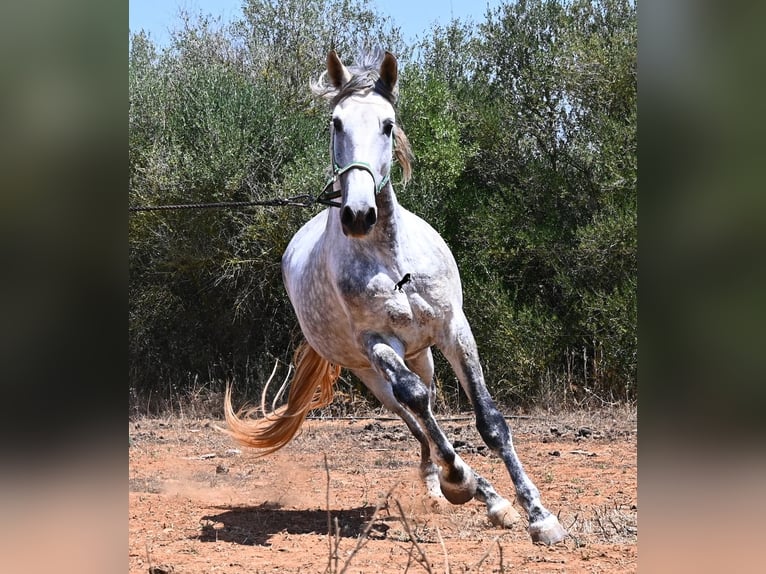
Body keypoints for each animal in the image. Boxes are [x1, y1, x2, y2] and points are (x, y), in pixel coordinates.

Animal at [224, 50, 567, 545]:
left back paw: (487, 497)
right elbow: (420, 407)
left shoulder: (453, 328)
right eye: (336, 123)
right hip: (371, 376)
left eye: (387, 125)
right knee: (415, 416)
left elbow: (490, 420)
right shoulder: (378, 345)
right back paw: (462, 485)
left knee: (428, 410)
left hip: (422, 355)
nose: (358, 214)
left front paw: (540, 516)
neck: (392, 258)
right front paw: (460, 481)